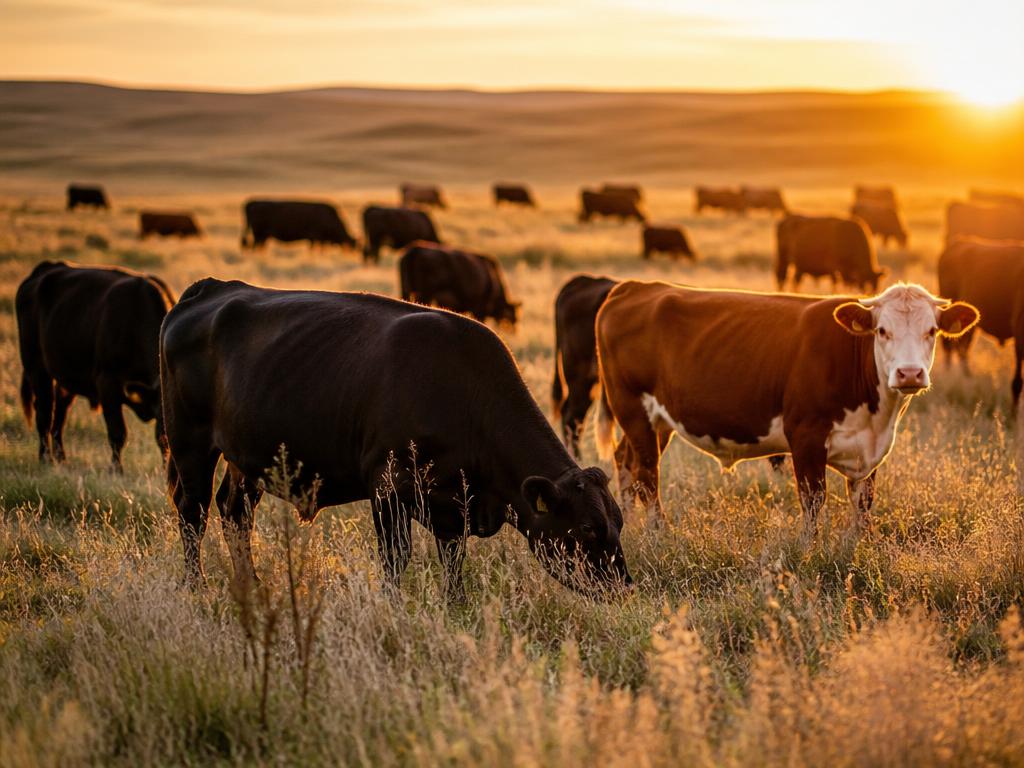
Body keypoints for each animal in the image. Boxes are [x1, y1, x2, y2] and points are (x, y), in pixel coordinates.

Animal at [16, 261, 175, 470]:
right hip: (35, 366)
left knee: (60, 414)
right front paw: (116, 470)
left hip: (67, 378)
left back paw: (61, 458)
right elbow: (117, 433)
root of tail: (45, 268)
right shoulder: (107, 383)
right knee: (44, 413)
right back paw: (45, 458)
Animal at [595, 280, 978, 526]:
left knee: (626, 462)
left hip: (658, 422)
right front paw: (811, 556)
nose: (909, 373)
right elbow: (812, 502)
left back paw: (630, 529)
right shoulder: (805, 437)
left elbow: (863, 507)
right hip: (633, 409)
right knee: (647, 475)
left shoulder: (869, 452)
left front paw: (852, 554)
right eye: (882, 330)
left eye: (932, 331)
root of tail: (635, 287)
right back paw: (658, 534)